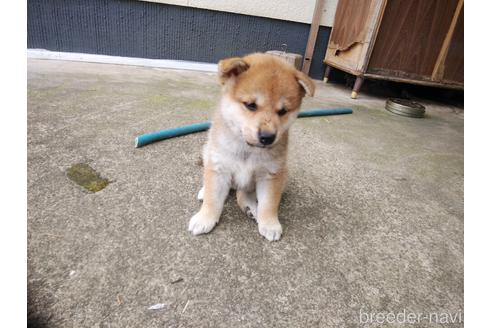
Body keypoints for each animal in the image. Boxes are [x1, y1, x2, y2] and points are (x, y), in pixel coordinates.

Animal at [188, 52, 316, 240]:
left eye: (283, 111)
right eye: (250, 105)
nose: (267, 137)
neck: (248, 149)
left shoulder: (271, 174)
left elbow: (269, 204)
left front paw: (269, 223)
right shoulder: (219, 166)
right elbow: (213, 198)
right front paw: (205, 218)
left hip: (279, 174)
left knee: (243, 194)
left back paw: (251, 209)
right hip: (208, 153)